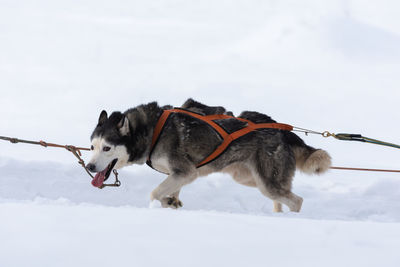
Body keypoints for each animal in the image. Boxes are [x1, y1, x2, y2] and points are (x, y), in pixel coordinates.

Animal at [87, 99, 332, 214]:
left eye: (107, 148)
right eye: (92, 147)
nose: (89, 167)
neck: (152, 130)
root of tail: (283, 131)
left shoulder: (186, 171)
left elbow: (154, 193)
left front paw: (163, 202)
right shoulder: (179, 175)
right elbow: (169, 193)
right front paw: (171, 202)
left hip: (266, 182)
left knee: (296, 200)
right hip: (250, 178)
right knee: (280, 199)